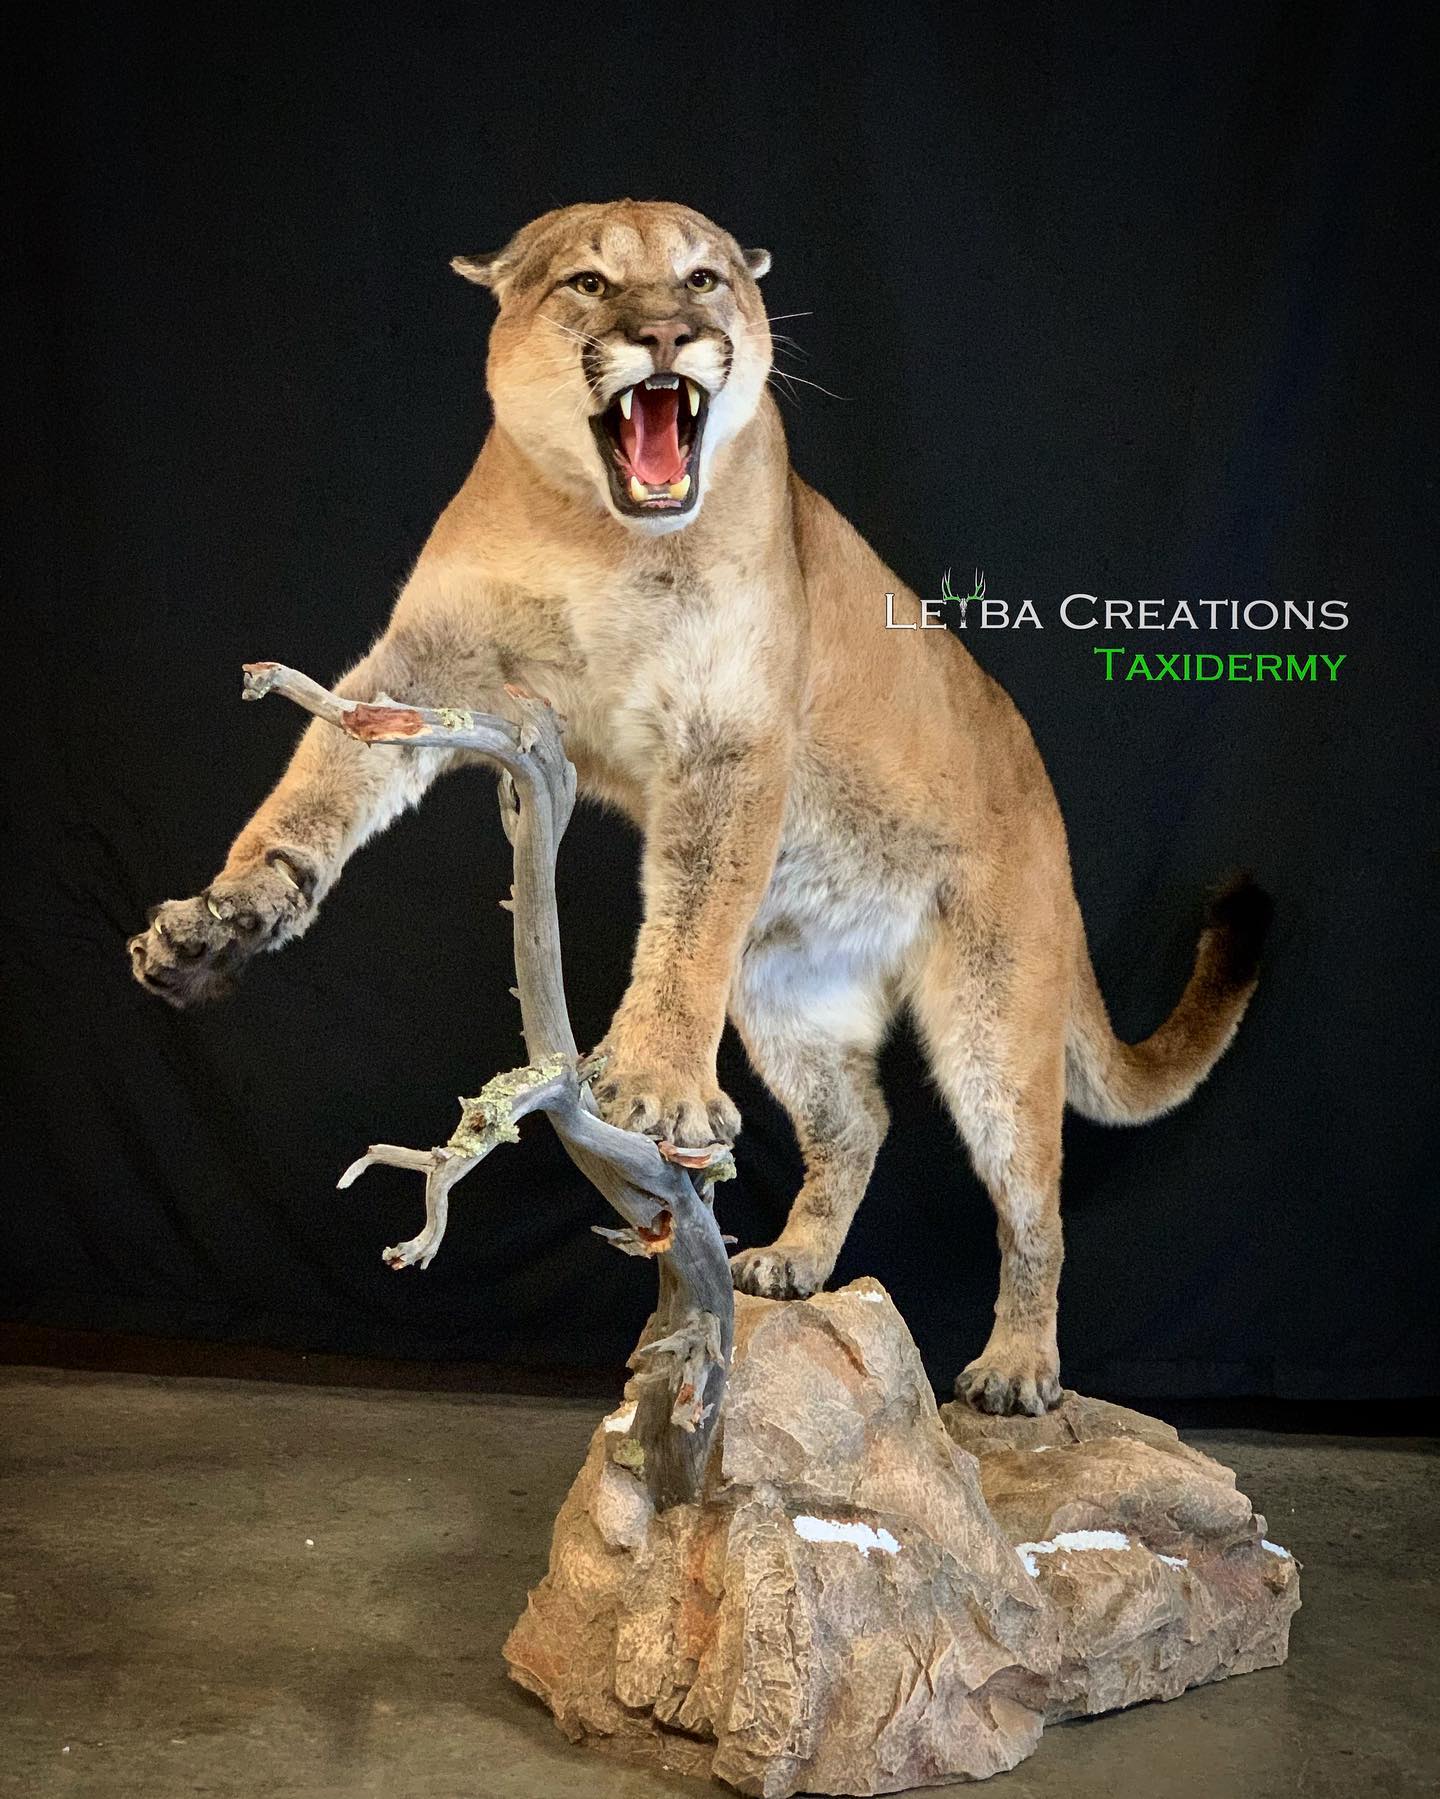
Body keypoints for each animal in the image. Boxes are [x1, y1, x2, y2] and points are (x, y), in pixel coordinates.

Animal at [129, 200, 1271, 1415]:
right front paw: (221, 919)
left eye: (706, 279)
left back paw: (1017, 1367)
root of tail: (1051, 814)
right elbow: (320, 778)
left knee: (1033, 1197)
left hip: (993, 1014)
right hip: (786, 995)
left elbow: (688, 924)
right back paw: (795, 1261)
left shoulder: (729, 740)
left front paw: (658, 1087)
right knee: (859, 1119)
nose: (670, 334)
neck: (600, 534)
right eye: (588, 282)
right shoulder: (426, 665)